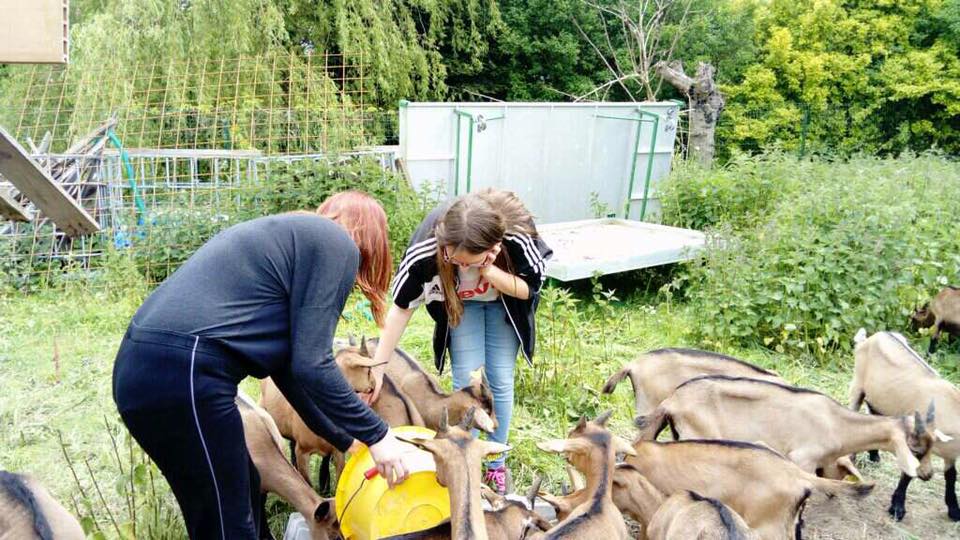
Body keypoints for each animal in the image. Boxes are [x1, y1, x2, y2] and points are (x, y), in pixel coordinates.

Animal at [636, 376, 936, 480]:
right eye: (915, 449)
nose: (927, 474)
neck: (836, 423)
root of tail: (671, 400)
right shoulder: (802, 458)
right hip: (699, 434)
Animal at [852, 332, 956, 520]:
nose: (928, 476)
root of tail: (872, 337)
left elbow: (951, 475)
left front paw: (954, 509)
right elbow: (908, 473)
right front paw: (897, 508)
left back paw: (874, 455)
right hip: (857, 386)